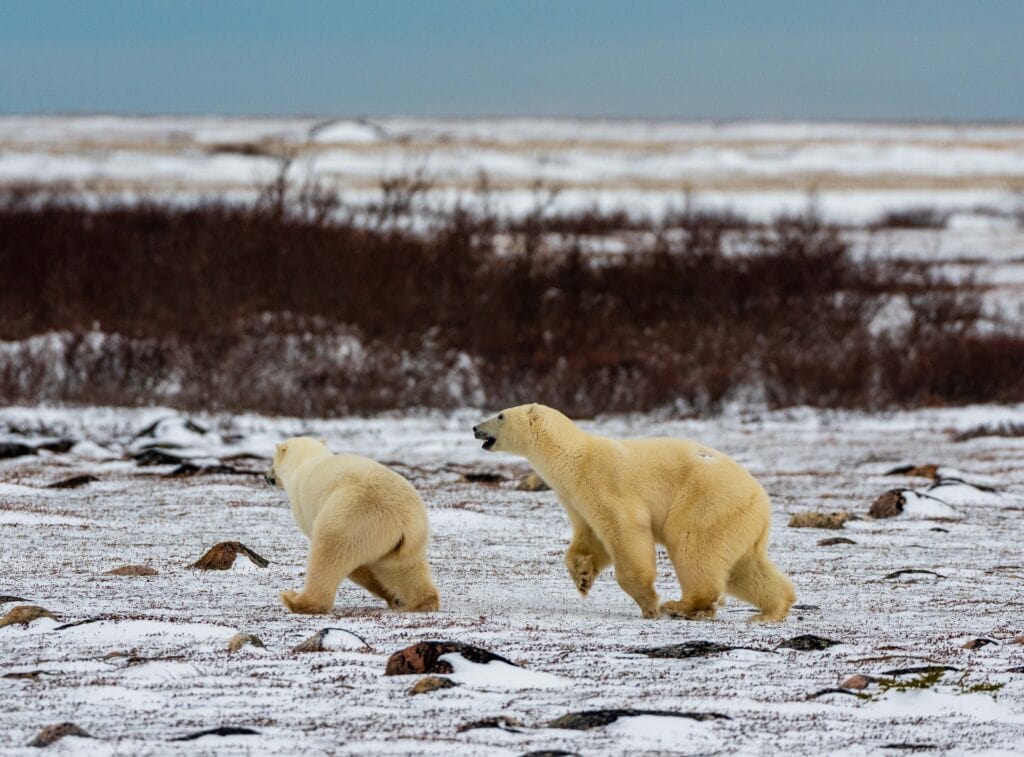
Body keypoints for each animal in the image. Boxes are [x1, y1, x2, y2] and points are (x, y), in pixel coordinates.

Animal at [265, 437, 440, 614]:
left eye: (272, 461)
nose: (266, 476)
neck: (306, 461)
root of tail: (403, 519)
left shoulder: (303, 507)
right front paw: (393, 597)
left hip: (353, 520)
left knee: (329, 554)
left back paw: (295, 600)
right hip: (407, 542)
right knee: (405, 567)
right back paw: (421, 603)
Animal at [473, 404, 795, 621]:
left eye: (500, 415)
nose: (475, 428)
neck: (574, 458)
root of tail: (762, 502)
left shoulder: (604, 483)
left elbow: (625, 530)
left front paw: (649, 602)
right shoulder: (574, 498)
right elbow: (590, 538)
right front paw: (583, 577)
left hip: (708, 503)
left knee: (693, 546)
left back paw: (682, 605)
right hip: (738, 521)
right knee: (745, 568)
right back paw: (772, 610)